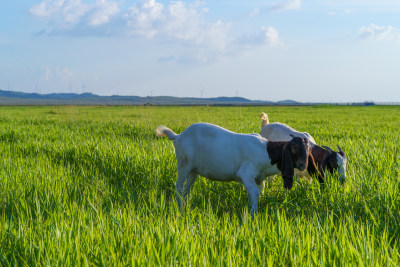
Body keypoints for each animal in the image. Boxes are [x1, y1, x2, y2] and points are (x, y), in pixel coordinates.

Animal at [156, 123, 316, 218]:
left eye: (309, 149)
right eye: (294, 148)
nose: (303, 165)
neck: (266, 151)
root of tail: (178, 136)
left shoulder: (259, 178)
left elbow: (260, 191)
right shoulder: (246, 174)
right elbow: (254, 193)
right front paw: (252, 216)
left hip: (194, 170)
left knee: (186, 189)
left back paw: (186, 205)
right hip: (184, 164)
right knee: (178, 187)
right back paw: (180, 208)